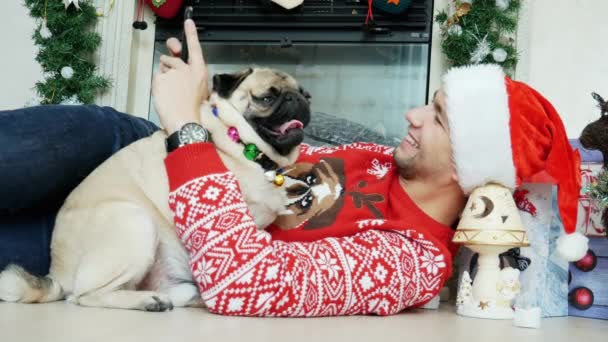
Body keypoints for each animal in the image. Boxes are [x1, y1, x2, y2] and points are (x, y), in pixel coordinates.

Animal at [0, 67, 312, 312]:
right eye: (266, 98)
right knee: (83, 296)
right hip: (136, 222)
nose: (298, 100)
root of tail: (58, 271)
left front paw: (296, 186)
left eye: (305, 96)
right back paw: (146, 301)